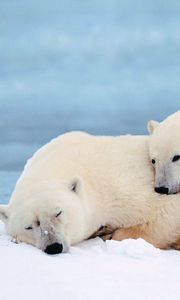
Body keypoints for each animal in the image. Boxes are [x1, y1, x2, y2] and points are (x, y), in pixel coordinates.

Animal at [0, 131, 180, 253]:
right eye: (28, 227)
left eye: (58, 213)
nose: (54, 247)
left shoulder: (124, 185)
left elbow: (165, 212)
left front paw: (109, 233)